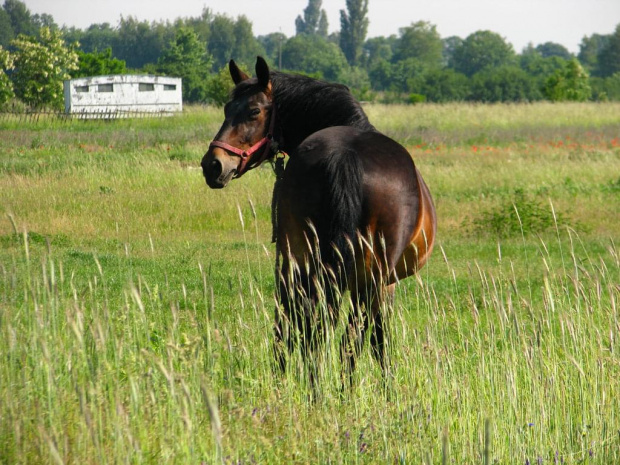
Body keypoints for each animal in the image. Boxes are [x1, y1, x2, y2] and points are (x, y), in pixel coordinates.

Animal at [202, 56, 436, 386]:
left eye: (254, 111)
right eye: (226, 109)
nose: (213, 165)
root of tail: (344, 155)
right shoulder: (384, 284)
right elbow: (378, 341)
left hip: (303, 264)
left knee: (301, 331)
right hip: (354, 276)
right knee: (338, 338)